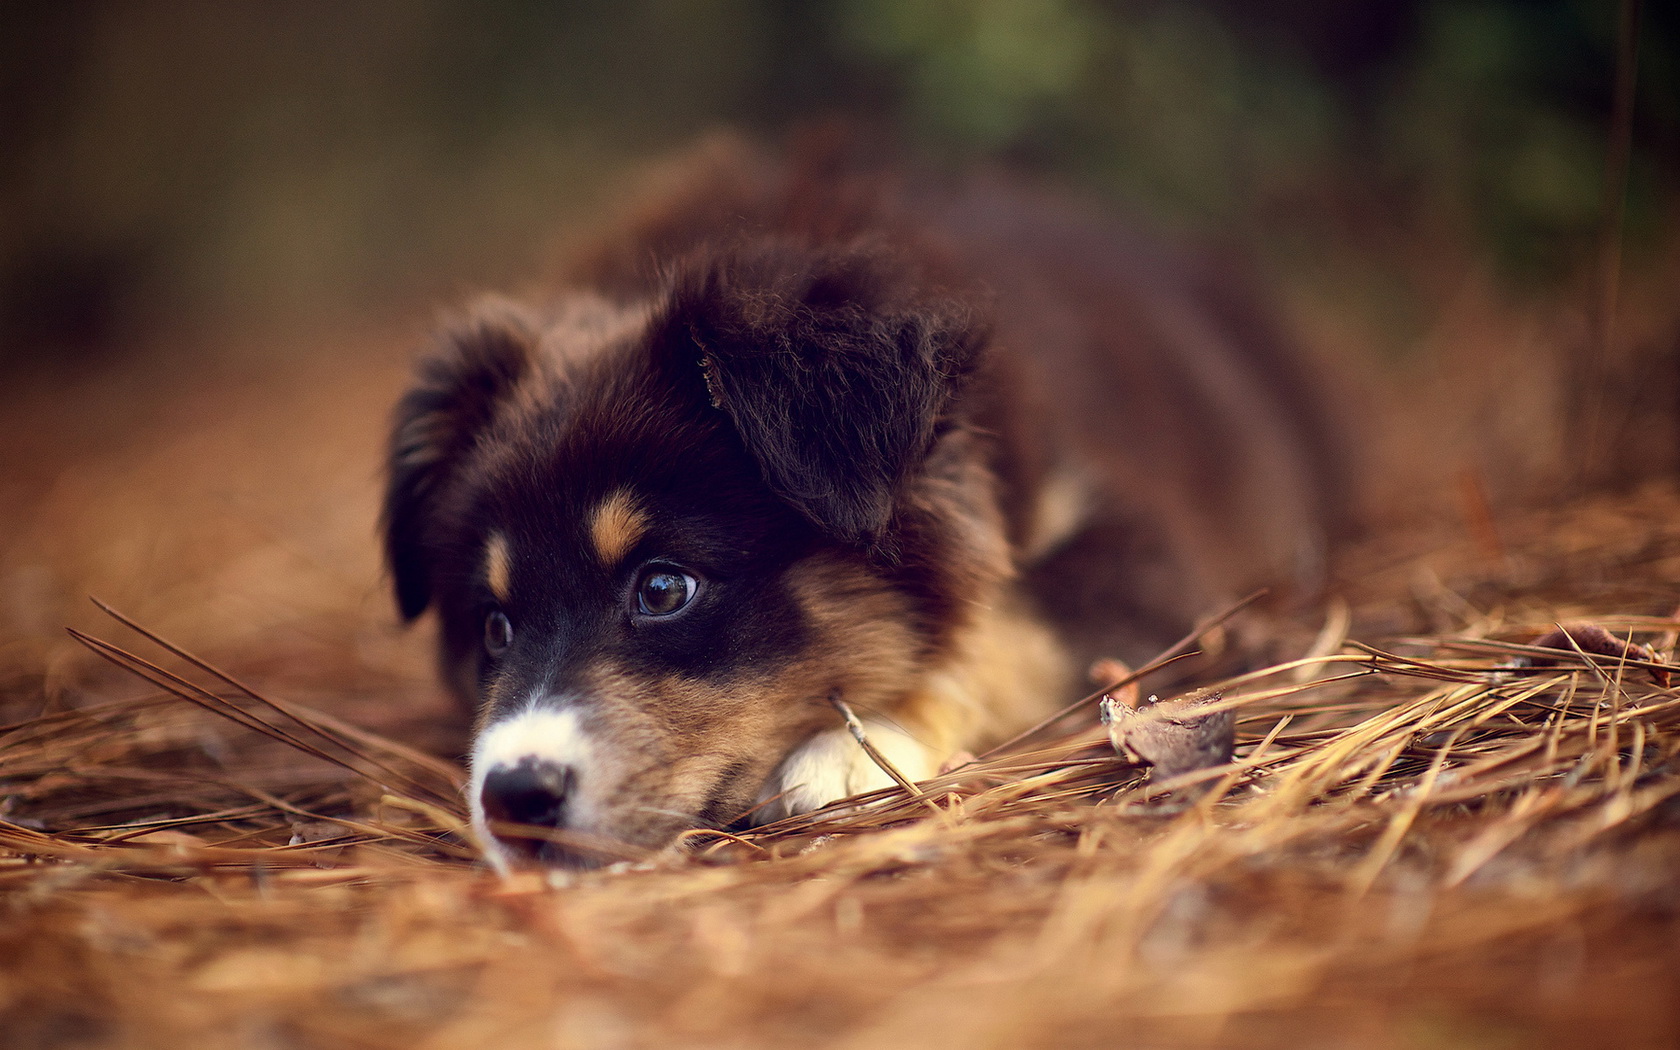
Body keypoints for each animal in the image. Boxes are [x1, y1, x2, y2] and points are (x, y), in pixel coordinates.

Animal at [384, 143, 1350, 873]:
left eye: (663, 589)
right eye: (494, 626)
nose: (514, 800)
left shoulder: (1138, 551)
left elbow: (1005, 635)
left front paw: (857, 745)